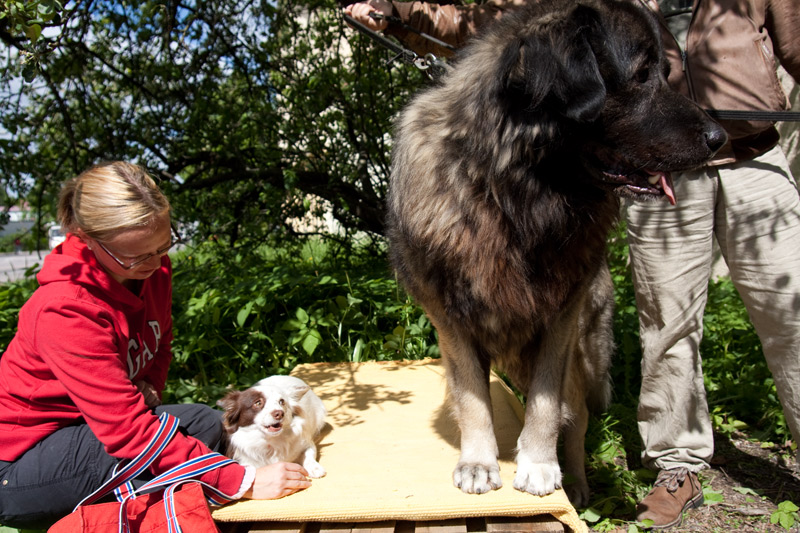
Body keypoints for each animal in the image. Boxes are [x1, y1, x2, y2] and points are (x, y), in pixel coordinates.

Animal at [386, 0, 726, 507]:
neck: (514, 195)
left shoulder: (559, 318)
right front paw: (479, 463)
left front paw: (540, 464)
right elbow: (473, 399)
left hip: (581, 352)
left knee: (578, 417)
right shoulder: (451, 319)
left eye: (666, 73)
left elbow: (548, 404)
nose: (721, 138)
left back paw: (579, 484)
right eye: (642, 75)